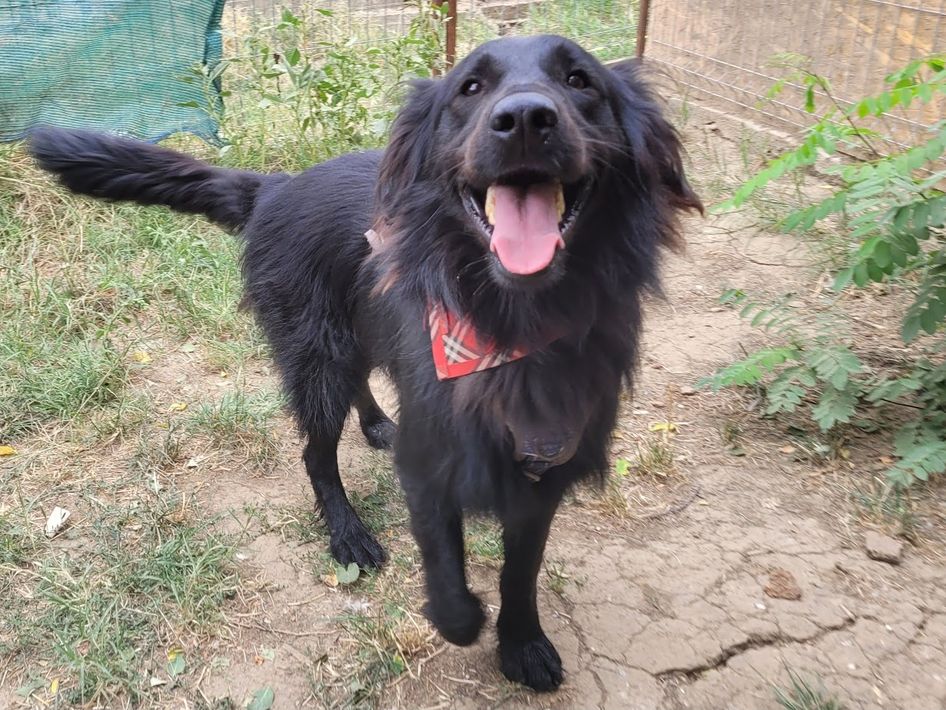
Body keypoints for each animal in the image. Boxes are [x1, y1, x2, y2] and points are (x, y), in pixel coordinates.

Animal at [30, 34, 701, 691]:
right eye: (470, 87)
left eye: (580, 80)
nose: (526, 121)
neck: (512, 325)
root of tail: (275, 186)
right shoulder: (431, 459)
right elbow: (448, 576)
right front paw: (462, 615)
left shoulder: (549, 465)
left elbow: (523, 569)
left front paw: (523, 643)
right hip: (317, 355)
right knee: (316, 453)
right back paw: (348, 533)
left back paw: (377, 423)